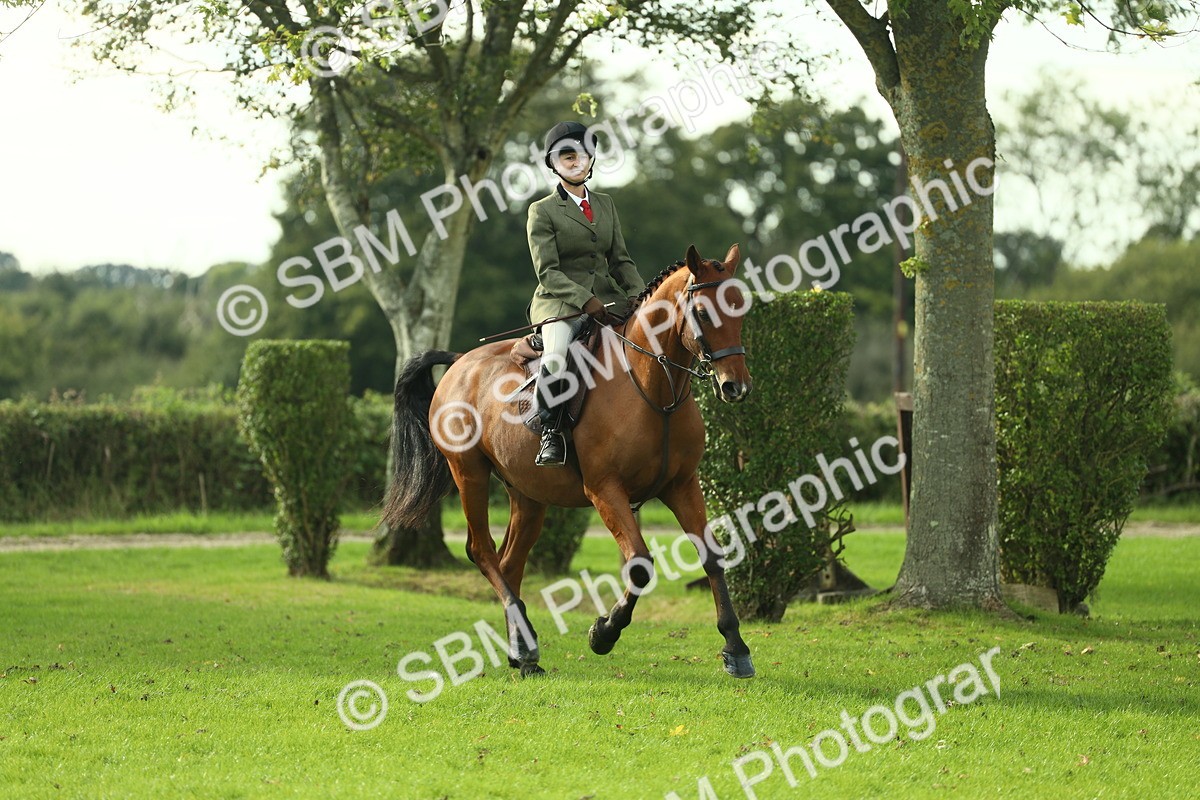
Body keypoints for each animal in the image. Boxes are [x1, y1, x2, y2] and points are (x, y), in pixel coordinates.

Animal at [381, 243, 756, 679]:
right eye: (702, 313)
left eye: (741, 309)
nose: (735, 386)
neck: (652, 388)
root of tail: (460, 361)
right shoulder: (605, 490)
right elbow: (640, 564)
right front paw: (603, 634)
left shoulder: (681, 485)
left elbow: (712, 556)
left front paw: (736, 648)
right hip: (469, 474)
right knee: (482, 551)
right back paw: (527, 648)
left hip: (527, 494)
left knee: (510, 563)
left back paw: (521, 652)